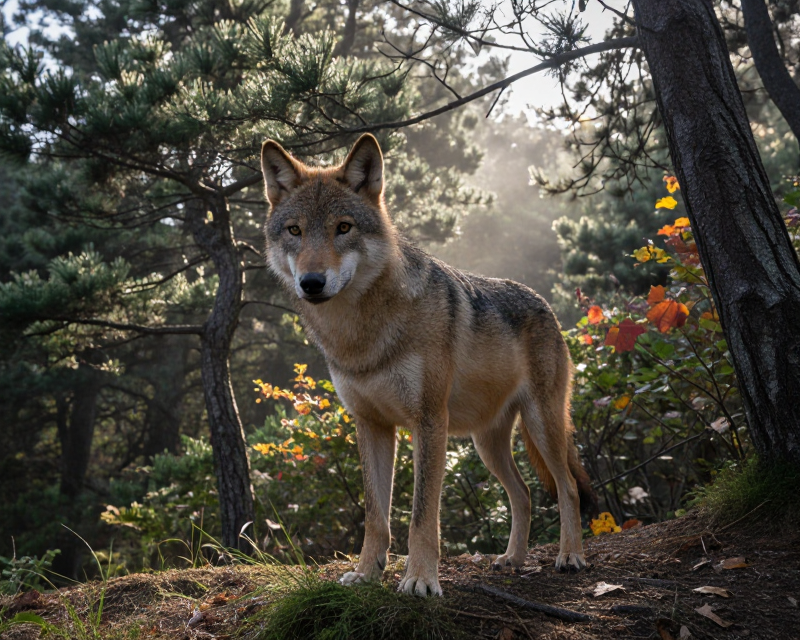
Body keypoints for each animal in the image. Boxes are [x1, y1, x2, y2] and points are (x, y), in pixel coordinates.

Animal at [260, 134, 597, 596]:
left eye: (343, 228)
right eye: (294, 230)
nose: (311, 283)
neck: (361, 337)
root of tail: (543, 302)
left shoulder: (429, 421)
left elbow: (422, 515)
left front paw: (420, 579)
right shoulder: (371, 425)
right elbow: (375, 515)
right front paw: (366, 574)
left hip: (541, 426)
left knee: (568, 488)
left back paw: (571, 556)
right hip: (487, 443)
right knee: (525, 492)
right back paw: (512, 558)